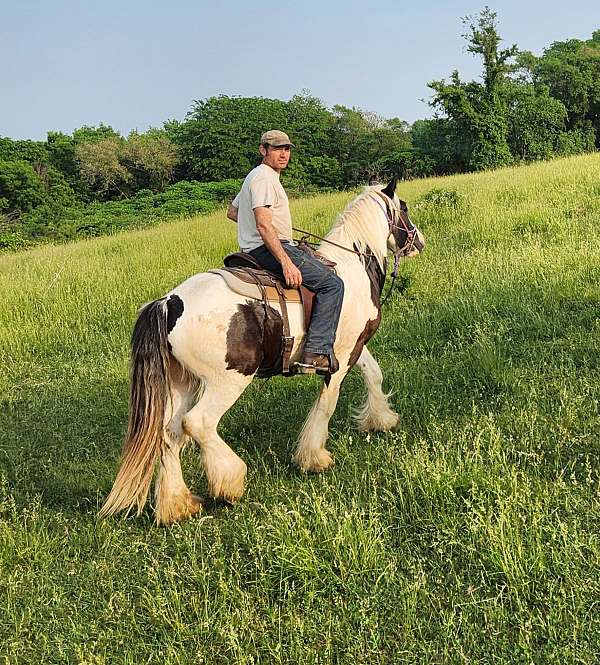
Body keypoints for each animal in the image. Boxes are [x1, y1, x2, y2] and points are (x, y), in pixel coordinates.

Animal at [99, 178, 422, 524]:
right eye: (404, 208)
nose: (419, 242)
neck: (353, 266)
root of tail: (169, 303)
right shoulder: (342, 353)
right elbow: (327, 402)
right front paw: (314, 457)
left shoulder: (351, 346)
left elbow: (374, 375)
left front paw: (381, 420)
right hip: (229, 379)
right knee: (198, 423)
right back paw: (229, 482)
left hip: (182, 381)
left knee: (169, 434)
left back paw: (178, 505)